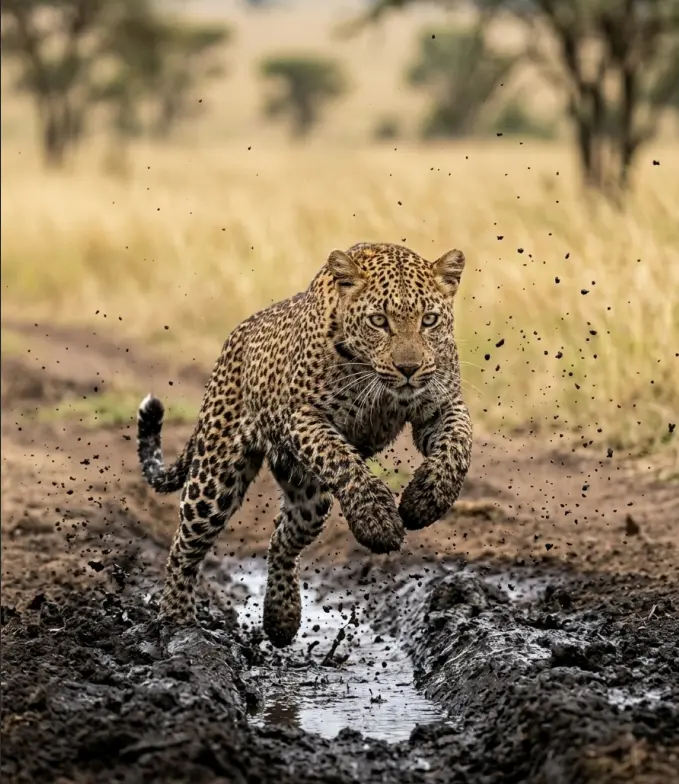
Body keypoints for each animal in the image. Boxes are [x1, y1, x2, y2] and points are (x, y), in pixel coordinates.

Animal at [136, 241, 473, 649]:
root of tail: (234, 341)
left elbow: (458, 445)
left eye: (429, 320)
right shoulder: (303, 419)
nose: (408, 368)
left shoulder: (442, 405)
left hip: (309, 498)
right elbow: (343, 460)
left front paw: (425, 500)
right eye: (379, 321)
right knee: (184, 545)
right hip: (215, 474)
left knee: (281, 539)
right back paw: (178, 625)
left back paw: (281, 619)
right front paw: (377, 521)